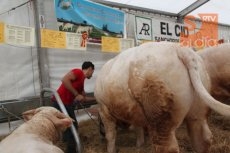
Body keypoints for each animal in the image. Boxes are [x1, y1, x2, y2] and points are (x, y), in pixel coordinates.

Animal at [94, 42, 230, 153]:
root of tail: (180, 49)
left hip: (160, 118)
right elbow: (138, 129)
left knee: (167, 147)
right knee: (203, 139)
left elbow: (110, 135)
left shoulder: (103, 109)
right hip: (198, 112)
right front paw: (139, 144)